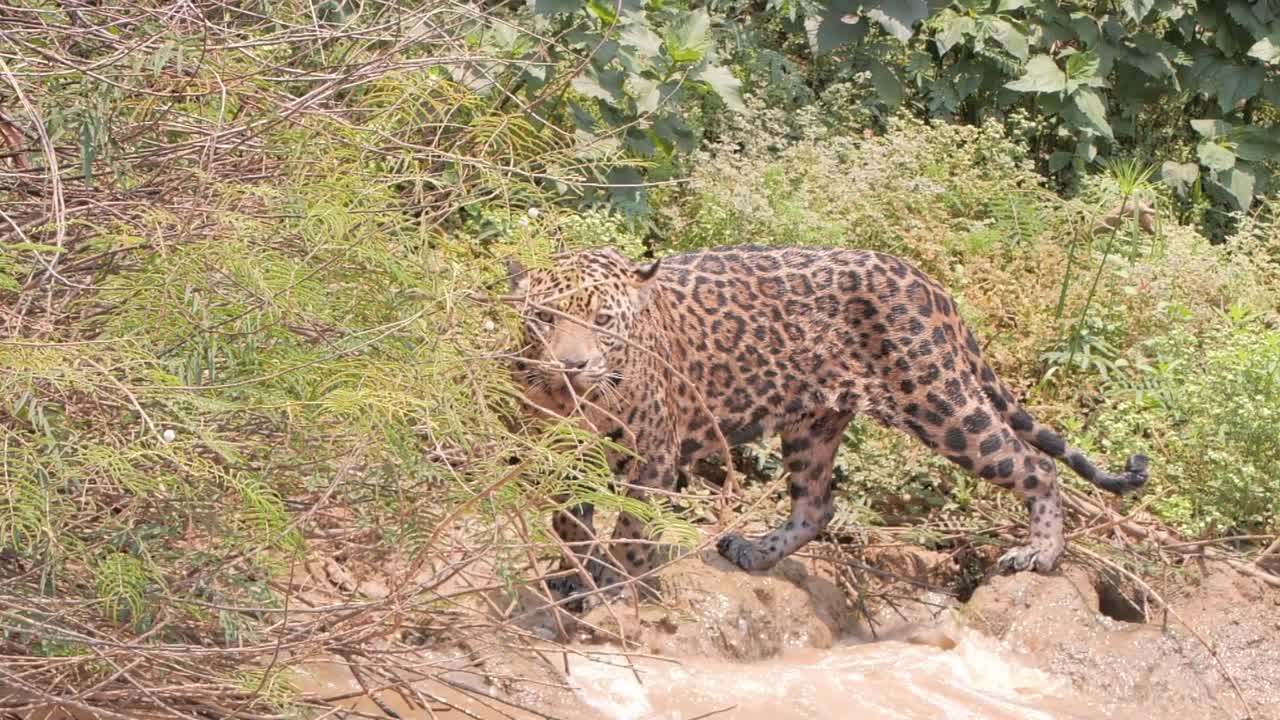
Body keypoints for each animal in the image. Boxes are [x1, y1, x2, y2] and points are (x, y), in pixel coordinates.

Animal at [505, 245, 1149, 603]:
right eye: (544, 318)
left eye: (603, 321)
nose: (572, 366)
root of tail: (927, 281)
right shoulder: (560, 455)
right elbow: (569, 522)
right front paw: (571, 576)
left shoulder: (654, 459)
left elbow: (631, 534)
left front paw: (613, 586)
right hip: (812, 425)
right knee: (816, 506)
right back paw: (755, 552)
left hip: (940, 402)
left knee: (1035, 464)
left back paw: (1040, 552)